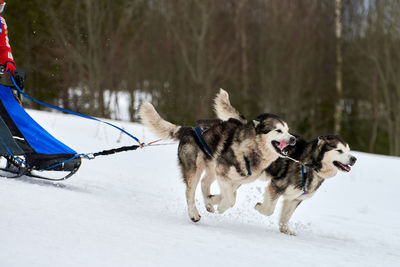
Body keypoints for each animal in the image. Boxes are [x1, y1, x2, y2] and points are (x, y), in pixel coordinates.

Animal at [139, 101, 296, 223]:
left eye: (288, 130)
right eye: (278, 130)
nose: (293, 139)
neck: (251, 149)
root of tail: (189, 129)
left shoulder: (236, 180)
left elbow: (229, 195)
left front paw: (212, 200)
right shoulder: (223, 173)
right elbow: (231, 199)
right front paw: (220, 206)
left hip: (212, 169)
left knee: (204, 183)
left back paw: (208, 203)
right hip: (196, 169)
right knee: (189, 191)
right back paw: (193, 214)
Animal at [212, 90, 356, 237]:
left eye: (348, 150)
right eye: (339, 150)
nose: (354, 159)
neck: (308, 164)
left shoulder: (295, 199)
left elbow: (286, 217)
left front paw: (285, 230)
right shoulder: (276, 187)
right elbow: (269, 210)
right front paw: (259, 207)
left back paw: (214, 200)